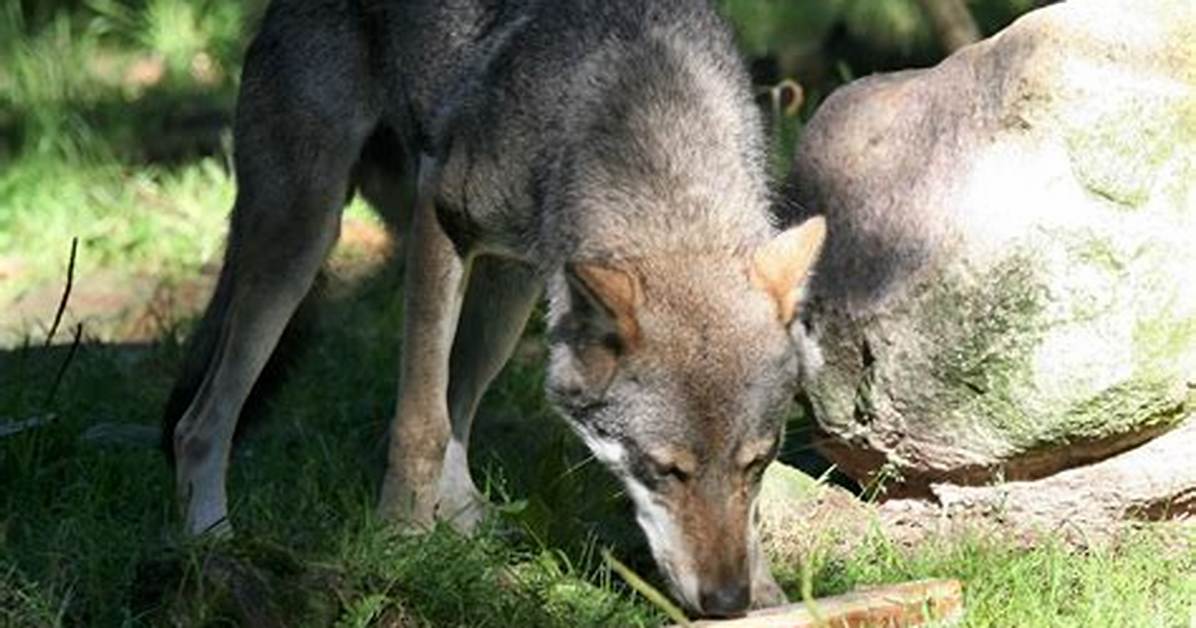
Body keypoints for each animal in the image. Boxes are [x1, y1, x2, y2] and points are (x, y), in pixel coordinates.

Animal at [162, 0, 827, 617]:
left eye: (756, 464)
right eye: (665, 470)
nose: (727, 601)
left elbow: (447, 418)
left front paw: (772, 593)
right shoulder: (440, 220)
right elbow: (420, 424)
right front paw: (399, 541)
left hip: (508, 294)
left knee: (460, 406)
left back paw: (467, 528)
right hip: (302, 241)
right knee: (201, 422)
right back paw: (211, 543)